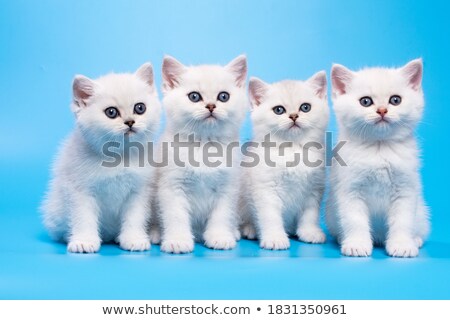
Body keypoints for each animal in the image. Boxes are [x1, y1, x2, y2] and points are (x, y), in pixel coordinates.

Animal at [40, 63, 160, 252]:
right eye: (111, 112)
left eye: (140, 108)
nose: (130, 121)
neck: (119, 156)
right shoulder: (80, 190)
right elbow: (83, 218)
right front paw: (84, 241)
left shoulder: (139, 190)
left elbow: (135, 217)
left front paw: (133, 239)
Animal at [157, 56, 250, 254]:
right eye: (194, 96)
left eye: (223, 96)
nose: (211, 106)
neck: (204, 145)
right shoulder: (172, 186)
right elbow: (176, 215)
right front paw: (178, 240)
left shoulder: (228, 187)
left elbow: (223, 214)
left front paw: (220, 237)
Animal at [241, 72, 328, 250]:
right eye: (279, 110)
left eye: (305, 107)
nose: (294, 116)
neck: (292, 150)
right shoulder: (266, 189)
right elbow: (270, 216)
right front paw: (275, 238)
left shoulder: (313, 189)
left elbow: (310, 215)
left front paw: (309, 232)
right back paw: (250, 229)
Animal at [326, 58, 428, 258]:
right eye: (365, 101)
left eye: (395, 100)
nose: (382, 110)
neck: (379, 149)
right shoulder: (350, 190)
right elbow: (354, 220)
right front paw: (357, 244)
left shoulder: (406, 189)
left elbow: (403, 221)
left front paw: (402, 245)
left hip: (422, 212)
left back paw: (415, 240)